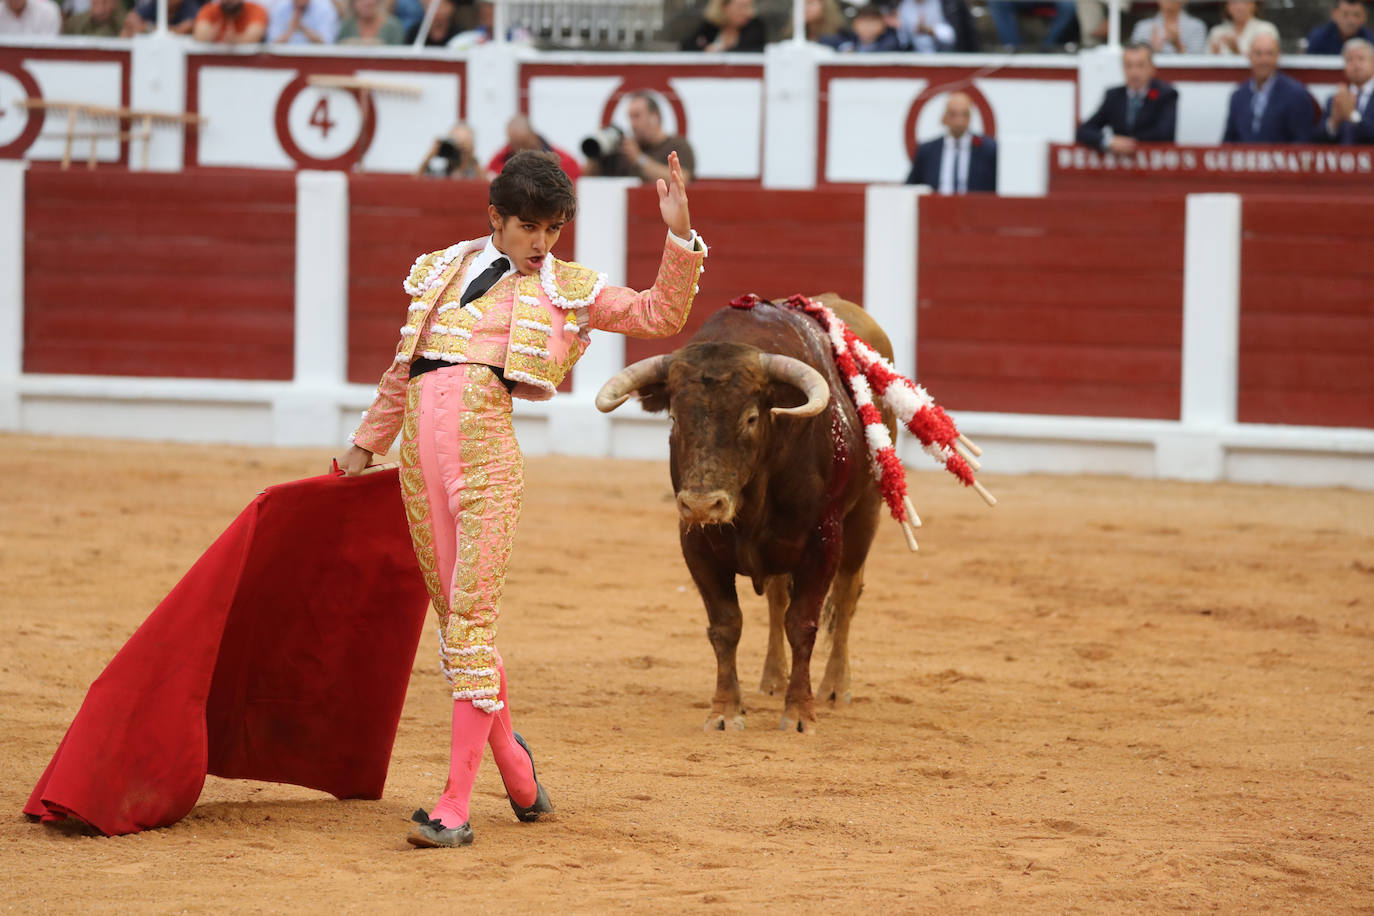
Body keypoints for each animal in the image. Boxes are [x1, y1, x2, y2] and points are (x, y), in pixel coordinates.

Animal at [593, 298, 895, 736]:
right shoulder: (696, 544)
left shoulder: (823, 542)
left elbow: (803, 623)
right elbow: (726, 625)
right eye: (674, 418)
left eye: (751, 418)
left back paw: (836, 687)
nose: (704, 505)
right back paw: (772, 679)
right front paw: (724, 710)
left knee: (846, 594)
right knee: (776, 598)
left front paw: (800, 713)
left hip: (865, 514)